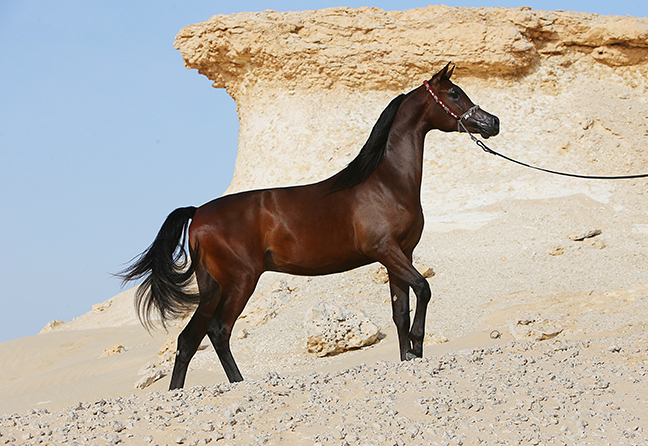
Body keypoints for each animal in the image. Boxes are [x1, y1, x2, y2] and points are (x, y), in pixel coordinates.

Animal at [119, 63, 500, 390]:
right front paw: (418, 348)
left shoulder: (400, 256)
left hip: (212, 286)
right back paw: (238, 383)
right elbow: (423, 289)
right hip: (240, 281)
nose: (492, 122)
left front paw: (409, 356)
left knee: (188, 339)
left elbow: (400, 313)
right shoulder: (387, 251)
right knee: (218, 331)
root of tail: (198, 213)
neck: (386, 182)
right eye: (454, 94)